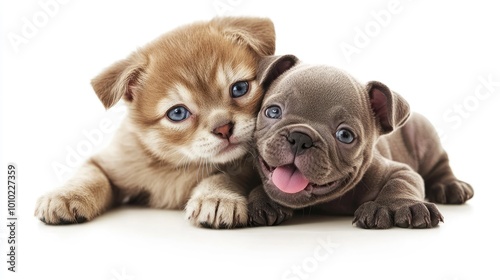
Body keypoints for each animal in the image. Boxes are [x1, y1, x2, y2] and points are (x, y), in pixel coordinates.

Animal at [34, 17, 278, 228]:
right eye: (178, 113)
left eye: (239, 88)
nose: (224, 128)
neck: (175, 165)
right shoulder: (109, 161)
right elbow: (90, 176)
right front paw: (66, 195)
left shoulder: (247, 167)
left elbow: (225, 175)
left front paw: (216, 197)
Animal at [249, 55, 472, 230]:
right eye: (273, 111)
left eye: (345, 135)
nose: (301, 138)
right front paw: (263, 199)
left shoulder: (399, 170)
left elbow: (402, 181)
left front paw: (404, 204)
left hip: (425, 135)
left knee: (440, 165)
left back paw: (450, 186)